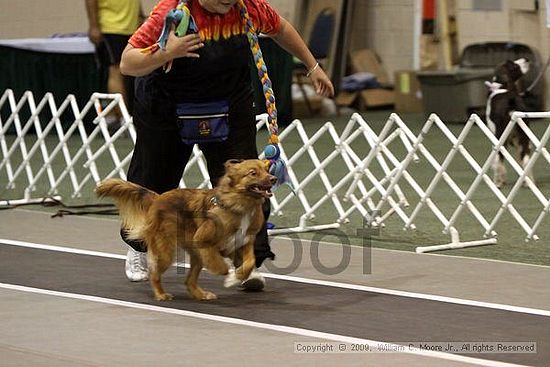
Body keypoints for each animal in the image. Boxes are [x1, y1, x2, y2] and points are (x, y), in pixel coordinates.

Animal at [95, 160, 278, 302]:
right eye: (253, 173)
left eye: (267, 169)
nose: (274, 178)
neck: (240, 205)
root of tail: (158, 198)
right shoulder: (204, 241)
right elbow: (219, 264)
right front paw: (228, 275)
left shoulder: (243, 242)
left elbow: (250, 262)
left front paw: (237, 277)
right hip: (167, 252)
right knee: (155, 274)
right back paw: (161, 294)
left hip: (195, 255)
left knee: (189, 281)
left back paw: (201, 294)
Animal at [488, 58, 536, 188]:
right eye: (514, 65)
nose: (526, 59)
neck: (502, 87)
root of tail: (511, 100)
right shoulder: (515, 139)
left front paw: (501, 180)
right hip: (524, 135)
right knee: (526, 159)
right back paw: (528, 183)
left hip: (500, 135)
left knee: (499, 158)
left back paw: (497, 183)